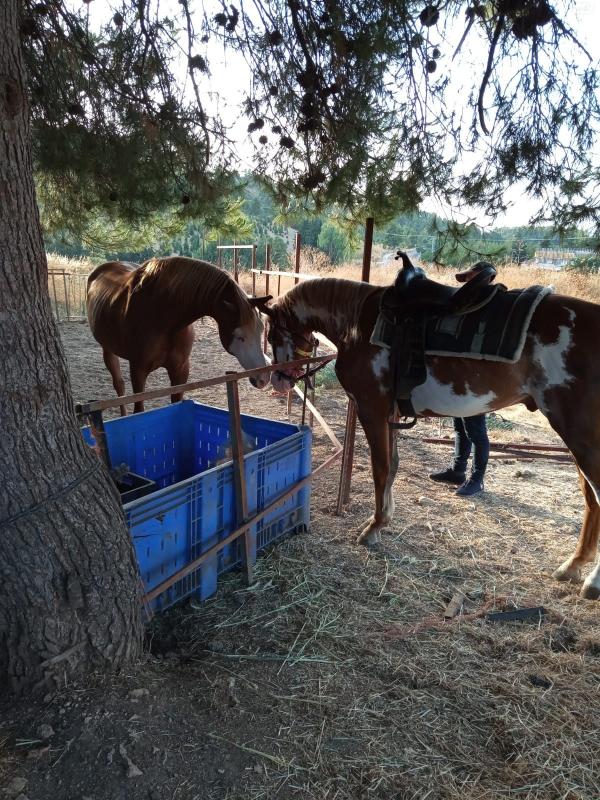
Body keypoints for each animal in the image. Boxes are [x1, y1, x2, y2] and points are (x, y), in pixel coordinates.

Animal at [87, 256, 272, 414]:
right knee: (119, 385)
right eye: (240, 336)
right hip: (107, 348)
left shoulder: (180, 370)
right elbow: (138, 409)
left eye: (261, 330)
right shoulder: (138, 370)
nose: (264, 377)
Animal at [264, 261, 600, 600]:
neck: (357, 323)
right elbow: (393, 467)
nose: (277, 380)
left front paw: (373, 528)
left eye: (271, 333)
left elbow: (380, 468)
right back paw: (572, 566)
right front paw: (383, 520)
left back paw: (592, 581)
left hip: (579, 436)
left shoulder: (371, 411)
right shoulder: (392, 415)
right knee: (590, 501)